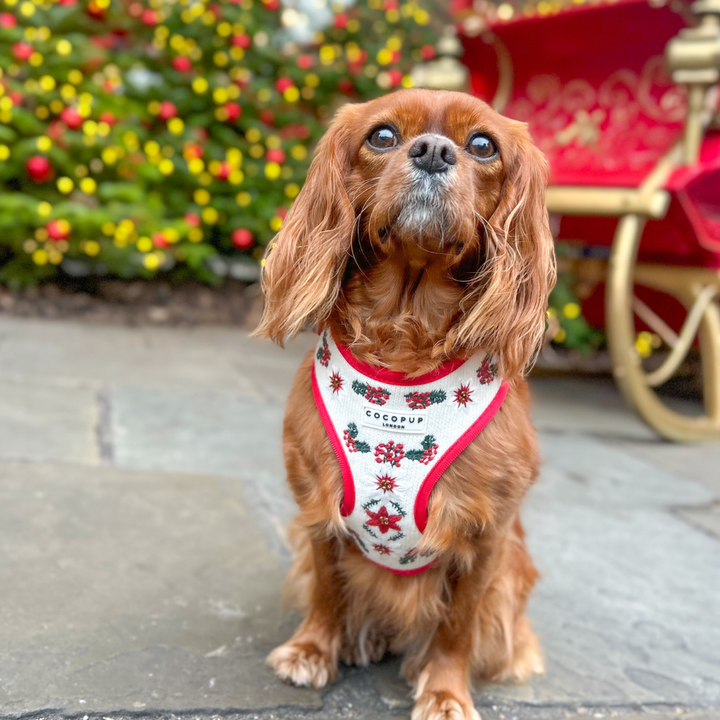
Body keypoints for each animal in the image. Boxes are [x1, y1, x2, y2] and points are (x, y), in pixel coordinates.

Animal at [253, 90, 556, 720]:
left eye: (483, 145)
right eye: (383, 136)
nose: (434, 150)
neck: (403, 344)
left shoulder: (486, 538)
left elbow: (458, 626)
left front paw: (445, 692)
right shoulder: (317, 512)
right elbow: (327, 590)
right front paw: (314, 649)